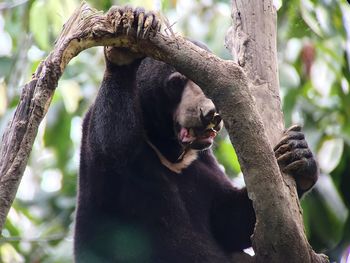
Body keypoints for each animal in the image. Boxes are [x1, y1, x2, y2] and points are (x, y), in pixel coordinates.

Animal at [75, 5, 318, 263]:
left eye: (206, 84)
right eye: (176, 82)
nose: (209, 113)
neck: (168, 150)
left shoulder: (201, 162)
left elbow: (228, 218)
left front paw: (297, 155)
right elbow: (111, 145)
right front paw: (129, 34)